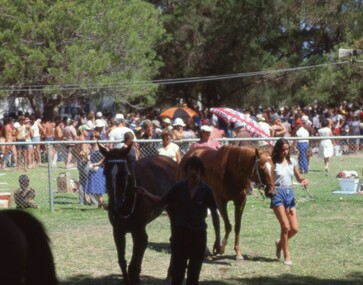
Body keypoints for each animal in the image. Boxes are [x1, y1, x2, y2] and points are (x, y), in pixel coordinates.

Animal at [99, 144, 182, 284]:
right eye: (105, 173)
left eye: (124, 173)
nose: (114, 207)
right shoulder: (118, 231)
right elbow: (122, 262)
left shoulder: (139, 232)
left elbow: (134, 265)